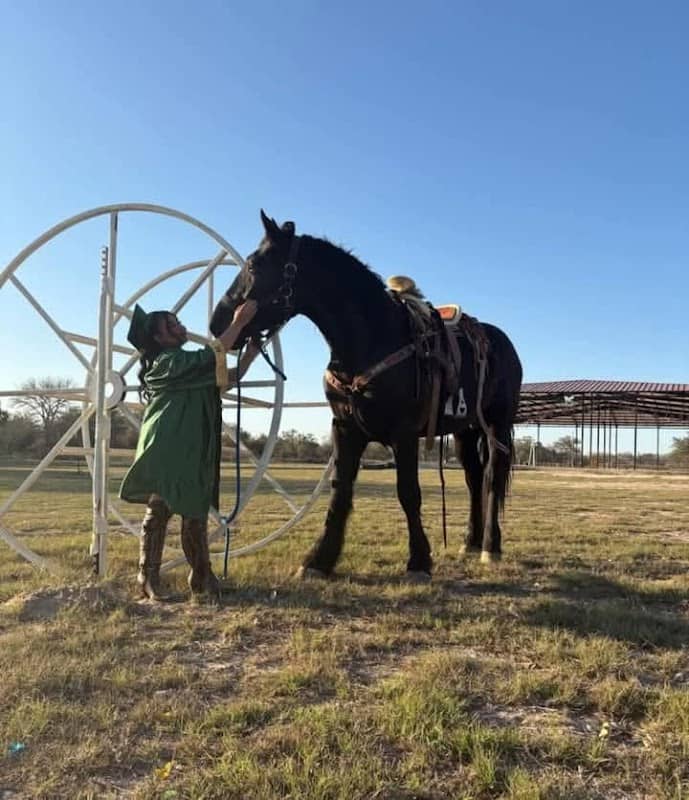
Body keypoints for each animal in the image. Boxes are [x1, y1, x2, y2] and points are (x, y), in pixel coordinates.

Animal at [210, 211, 522, 580]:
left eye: (254, 265)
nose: (217, 322)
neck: (374, 337)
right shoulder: (346, 428)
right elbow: (341, 491)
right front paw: (319, 559)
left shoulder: (404, 434)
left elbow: (408, 493)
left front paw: (419, 562)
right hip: (465, 430)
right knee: (474, 479)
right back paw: (470, 543)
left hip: (497, 426)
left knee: (491, 478)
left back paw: (490, 546)